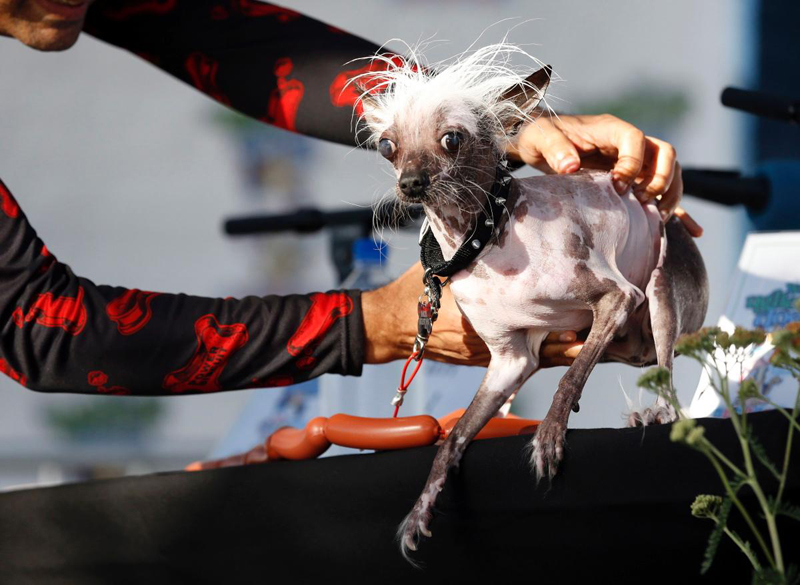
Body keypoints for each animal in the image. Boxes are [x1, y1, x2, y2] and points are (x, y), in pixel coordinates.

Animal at [354, 43, 708, 564]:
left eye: (452, 138)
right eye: (386, 146)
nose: (411, 183)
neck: (483, 240)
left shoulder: (618, 295)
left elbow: (570, 376)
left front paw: (549, 433)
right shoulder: (509, 359)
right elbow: (454, 436)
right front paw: (424, 504)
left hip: (662, 291)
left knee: (669, 381)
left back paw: (655, 414)